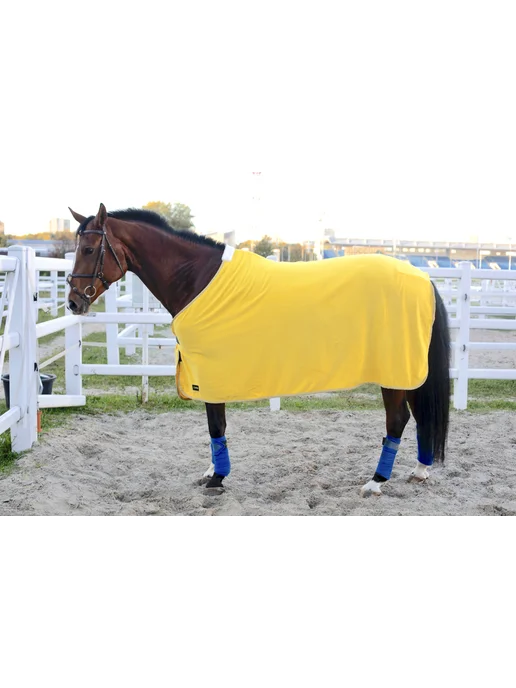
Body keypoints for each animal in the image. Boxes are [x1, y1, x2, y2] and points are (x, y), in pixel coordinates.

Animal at [67, 203, 451, 496]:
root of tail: (422, 278)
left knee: (397, 419)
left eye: (89, 250)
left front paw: (218, 478)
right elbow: (215, 426)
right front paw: (212, 473)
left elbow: (216, 425)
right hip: (408, 369)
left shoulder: (211, 373)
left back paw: (376, 482)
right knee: (419, 415)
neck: (198, 278)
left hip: (394, 370)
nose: (73, 302)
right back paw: (419, 471)